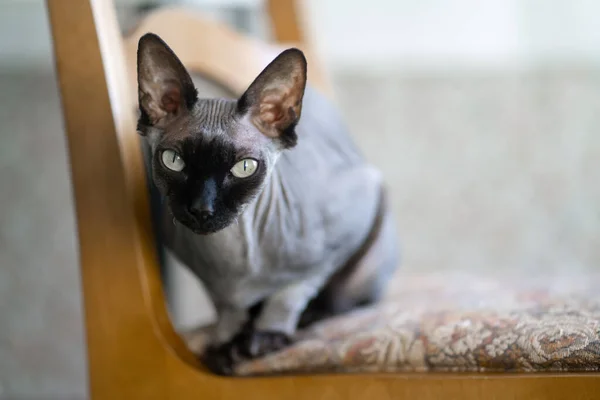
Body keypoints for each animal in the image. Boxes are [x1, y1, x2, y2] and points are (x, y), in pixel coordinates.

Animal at [136, 32, 398, 376]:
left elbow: (290, 292)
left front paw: (265, 336)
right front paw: (225, 344)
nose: (202, 209)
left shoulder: (349, 222)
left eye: (244, 167)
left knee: (343, 298)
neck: (233, 259)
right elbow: (227, 307)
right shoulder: (206, 277)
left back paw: (308, 317)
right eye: (173, 161)